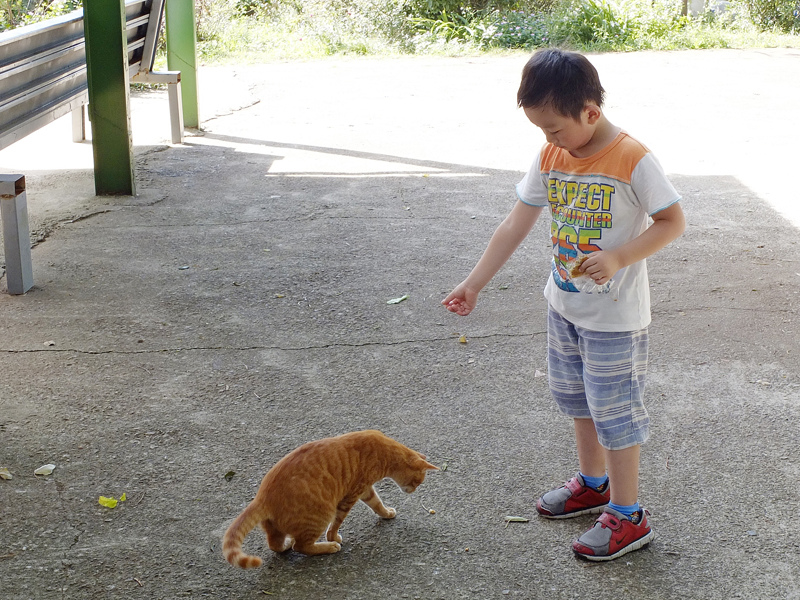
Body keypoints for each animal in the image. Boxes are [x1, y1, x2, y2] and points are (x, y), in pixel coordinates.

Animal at [222, 428, 440, 564]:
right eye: (418, 481)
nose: (414, 491)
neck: (385, 451)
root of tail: (262, 497)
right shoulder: (353, 493)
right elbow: (337, 522)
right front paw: (333, 537)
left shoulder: (365, 490)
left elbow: (377, 504)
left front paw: (386, 513)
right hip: (321, 514)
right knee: (301, 546)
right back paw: (328, 546)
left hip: (276, 527)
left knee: (276, 544)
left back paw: (285, 545)